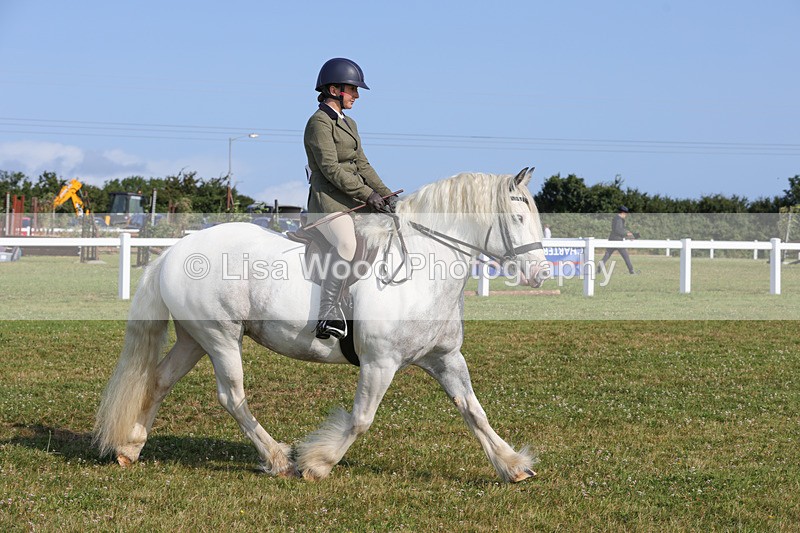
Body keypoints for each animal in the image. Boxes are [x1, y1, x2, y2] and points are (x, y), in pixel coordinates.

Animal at [94, 167, 549, 482]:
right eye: (517, 217)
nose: (541, 274)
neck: (420, 270)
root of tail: (176, 249)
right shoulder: (380, 363)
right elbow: (361, 419)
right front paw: (318, 463)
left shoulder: (446, 358)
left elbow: (474, 411)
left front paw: (512, 466)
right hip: (221, 336)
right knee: (232, 397)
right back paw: (279, 459)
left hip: (194, 338)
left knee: (159, 380)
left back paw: (130, 448)